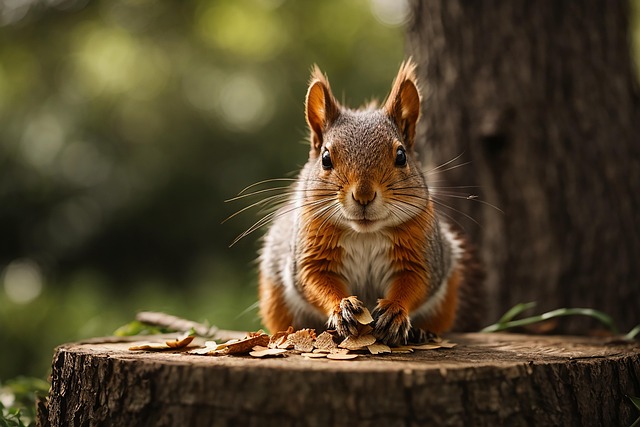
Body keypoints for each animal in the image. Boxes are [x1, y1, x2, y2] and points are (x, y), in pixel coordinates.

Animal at [258, 60, 485, 346]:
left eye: (401, 156)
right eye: (325, 158)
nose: (363, 195)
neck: (364, 233)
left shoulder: (422, 254)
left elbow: (416, 281)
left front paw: (395, 311)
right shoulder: (311, 254)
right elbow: (314, 279)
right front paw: (342, 307)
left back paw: (421, 332)